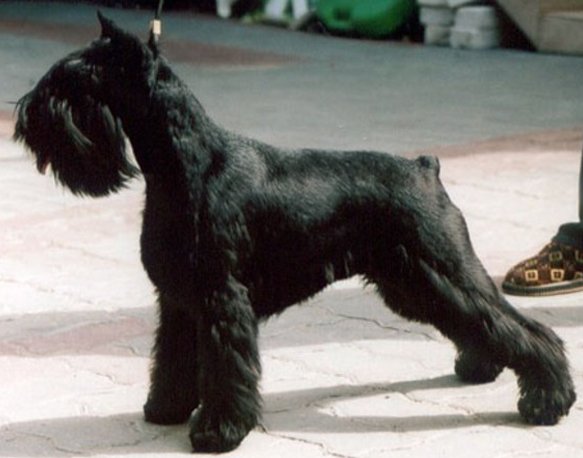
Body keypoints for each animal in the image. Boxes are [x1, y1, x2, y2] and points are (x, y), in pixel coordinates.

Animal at [13, 13, 576, 453]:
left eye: (75, 81)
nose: (25, 117)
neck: (187, 164)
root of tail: (425, 167)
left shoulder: (222, 300)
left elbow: (225, 368)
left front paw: (218, 431)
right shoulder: (178, 301)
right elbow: (173, 357)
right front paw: (166, 407)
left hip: (445, 269)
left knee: (526, 330)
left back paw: (547, 400)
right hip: (417, 283)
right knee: (479, 325)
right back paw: (481, 367)